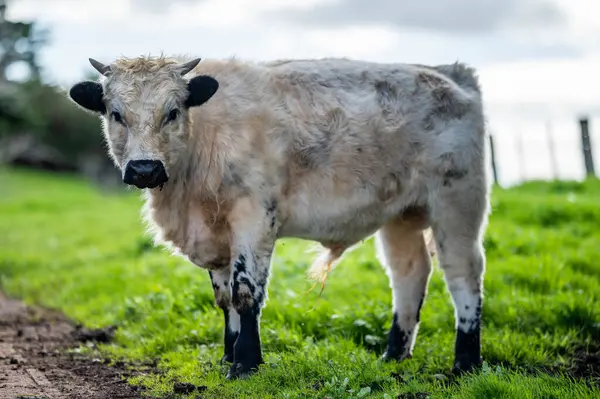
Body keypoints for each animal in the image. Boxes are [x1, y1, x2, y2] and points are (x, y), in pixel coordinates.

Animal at [69, 54, 492, 380]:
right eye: (116, 113)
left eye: (172, 112)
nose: (145, 169)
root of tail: (450, 72)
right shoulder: (215, 233)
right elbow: (224, 298)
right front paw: (227, 356)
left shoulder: (253, 217)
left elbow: (244, 293)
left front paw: (246, 365)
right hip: (401, 215)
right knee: (409, 275)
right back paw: (393, 356)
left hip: (457, 201)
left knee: (462, 274)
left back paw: (465, 365)